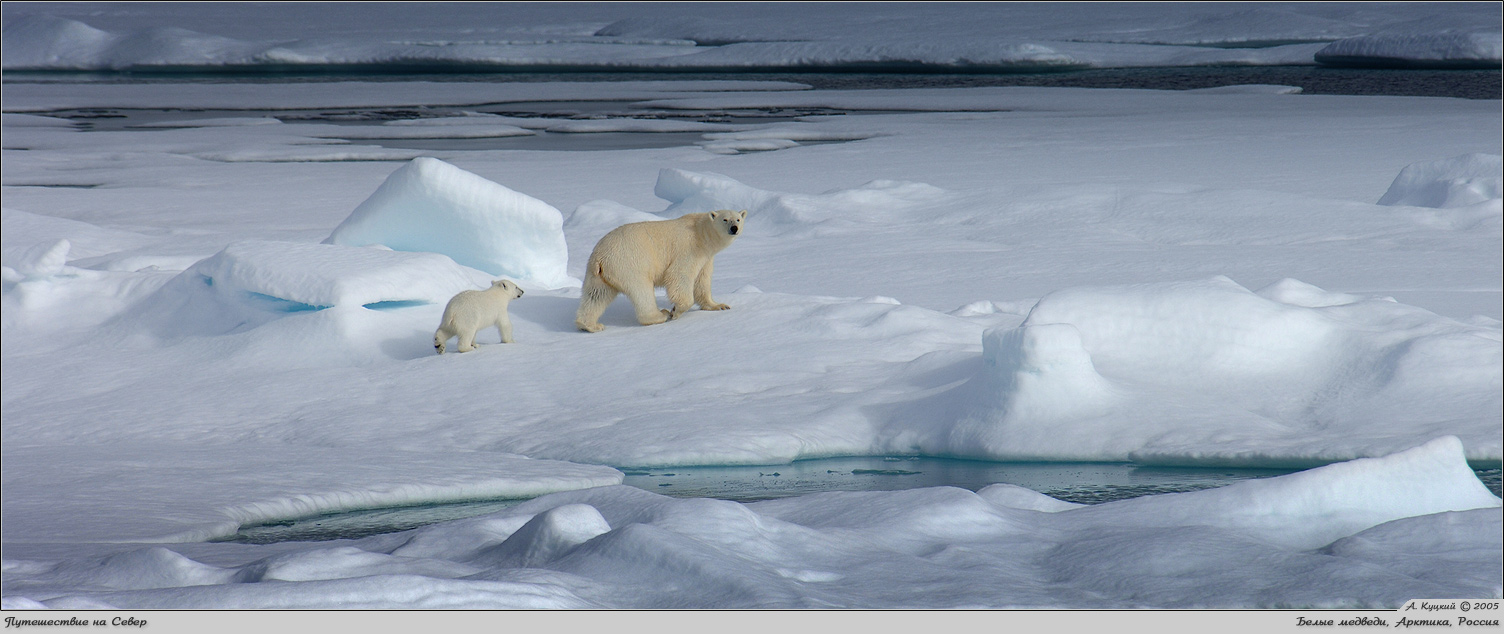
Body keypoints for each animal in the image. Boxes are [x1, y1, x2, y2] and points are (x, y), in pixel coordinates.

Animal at [571, 210, 742, 335]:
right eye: (725, 219)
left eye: (738, 219)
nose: (734, 228)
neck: (700, 232)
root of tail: (600, 257)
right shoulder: (690, 249)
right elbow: (679, 275)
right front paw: (675, 311)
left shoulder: (706, 257)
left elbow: (702, 282)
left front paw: (719, 305)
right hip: (630, 263)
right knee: (642, 291)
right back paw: (661, 314)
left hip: (598, 275)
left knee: (596, 296)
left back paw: (590, 325)